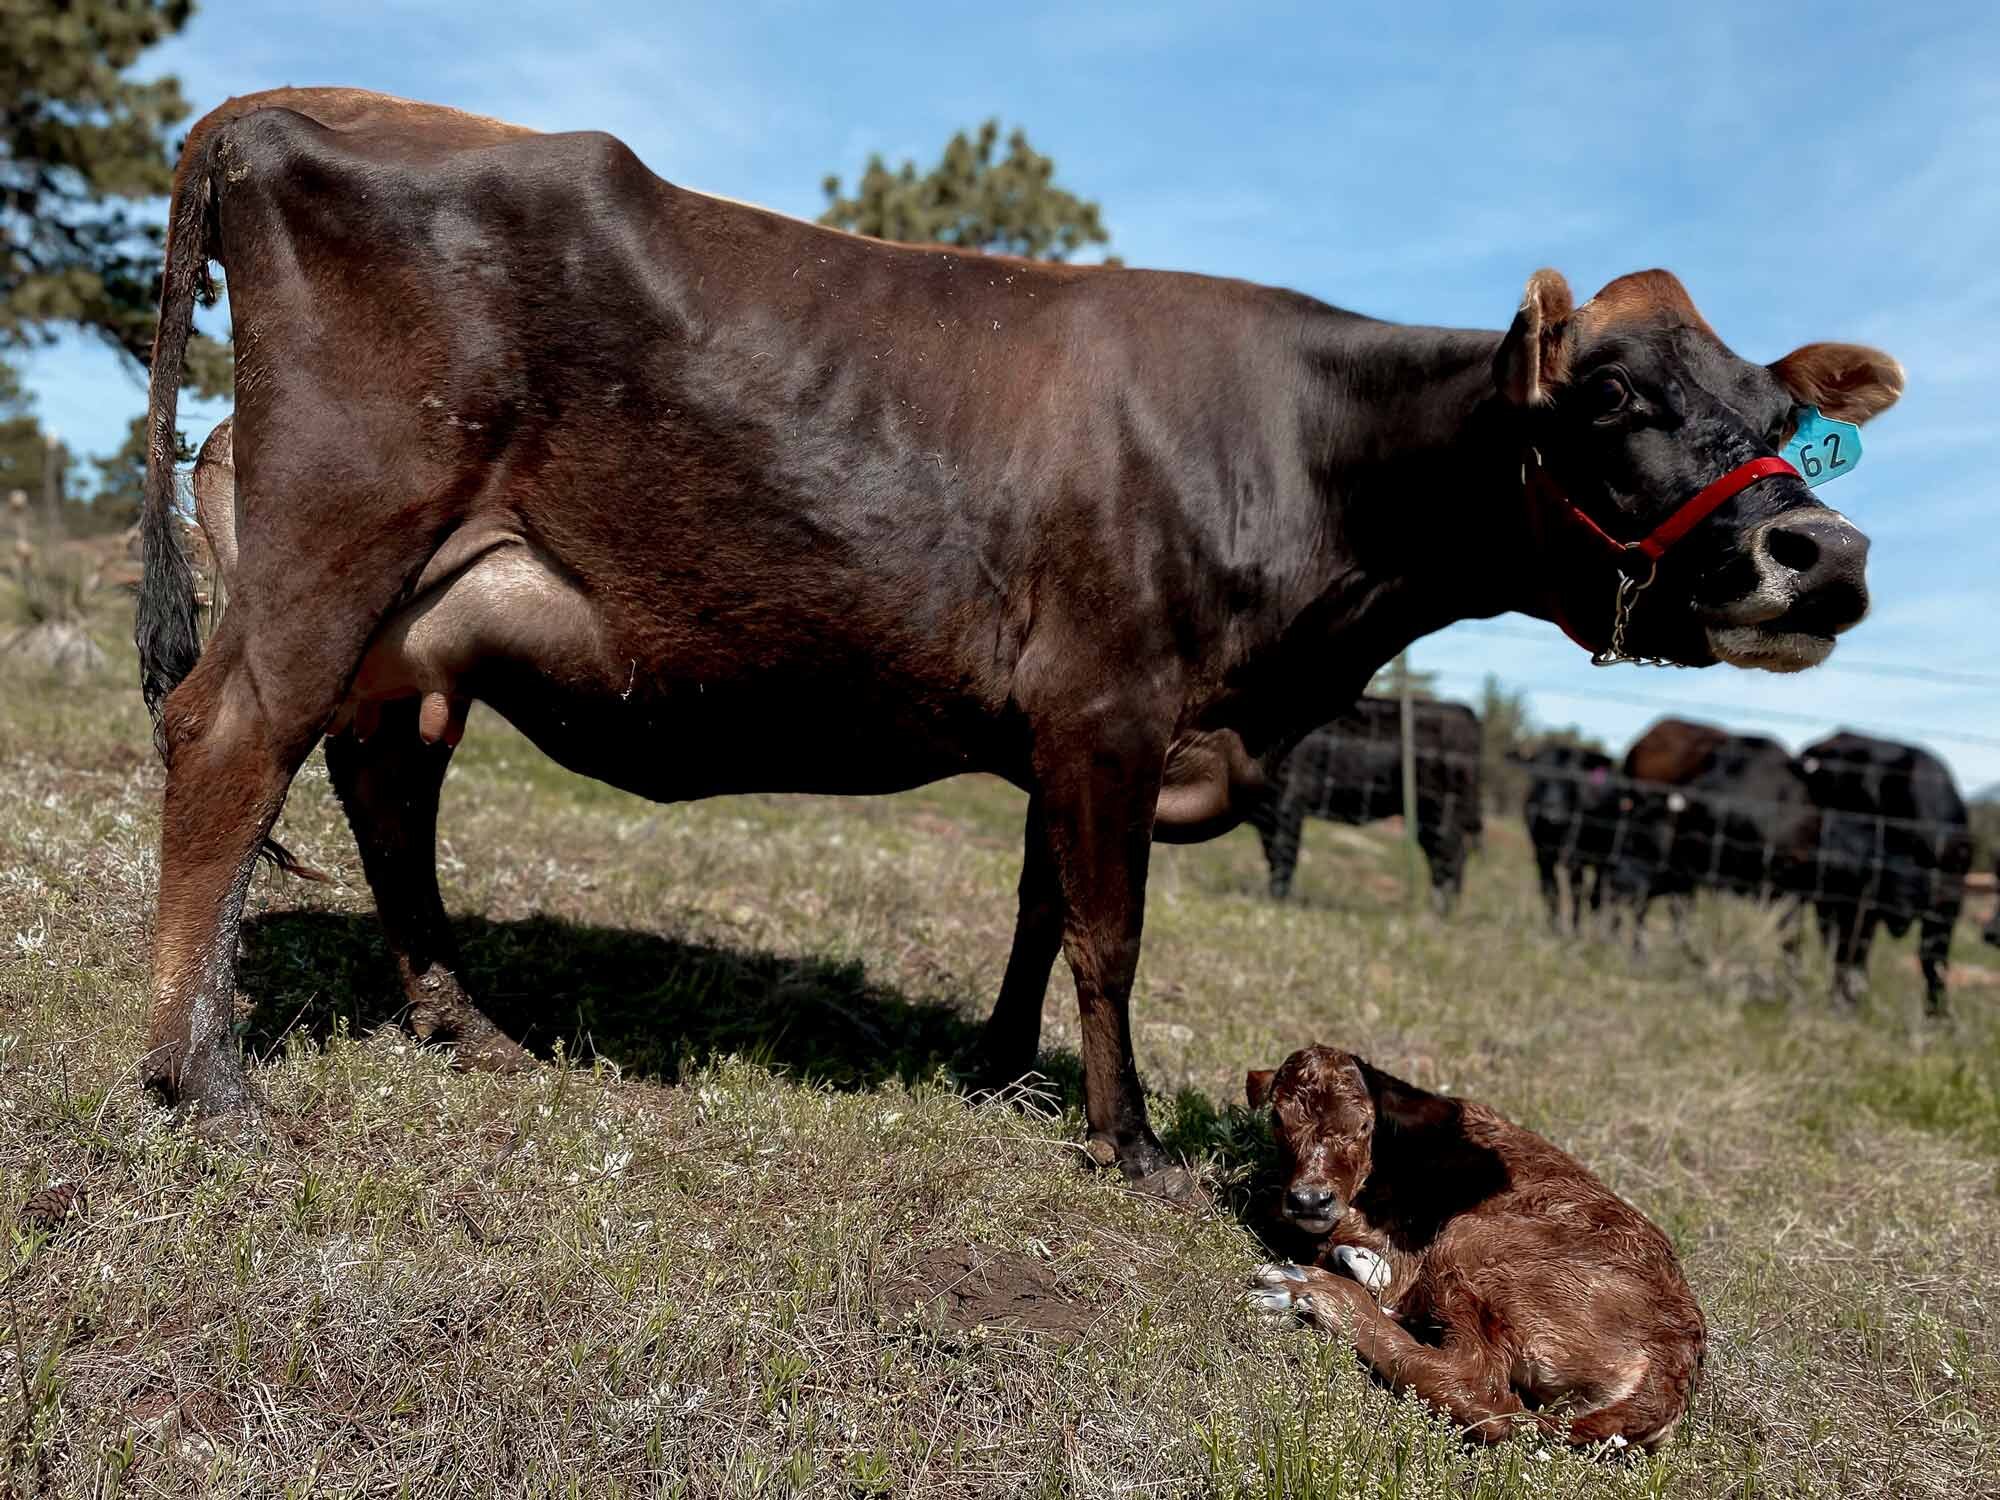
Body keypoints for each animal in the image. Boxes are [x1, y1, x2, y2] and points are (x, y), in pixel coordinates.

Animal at [1248, 700, 1488, 912]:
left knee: (1450, 857)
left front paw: (1279, 903)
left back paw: (1442, 911)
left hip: (1442, 813)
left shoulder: (1289, 803)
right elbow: (1272, 856)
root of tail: (1463, 711)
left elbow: (1284, 858)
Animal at [1248, 1048, 1704, 1456]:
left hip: (1477, 1244)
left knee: (1479, 1389)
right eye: (1277, 1119)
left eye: (1363, 1126)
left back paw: (1304, 1288)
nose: (1310, 1200)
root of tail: (1673, 1368)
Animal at [1512, 748, 1624, 936]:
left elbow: (1577, 892)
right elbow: (1550, 890)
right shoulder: (1542, 855)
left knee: (1599, 896)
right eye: (1539, 776)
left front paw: (1575, 933)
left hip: (1606, 859)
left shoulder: (1575, 858)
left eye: (1573, 778)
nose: (1552, 814)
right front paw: (1553, 929)